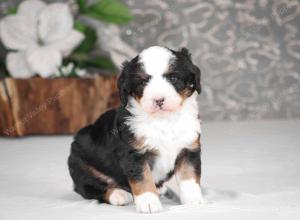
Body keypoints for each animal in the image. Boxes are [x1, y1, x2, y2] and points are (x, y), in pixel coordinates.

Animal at [68, 46, 204, 213]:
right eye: (143, 82)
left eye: (173, 78)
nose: (159, 100)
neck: (164, 121)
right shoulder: (134, 153)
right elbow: (143, 178)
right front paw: (149, 202)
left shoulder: (188, 149)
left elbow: (189, 178)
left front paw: (194, 200)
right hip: (81, 166)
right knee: (89, 187)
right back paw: (119, 194)